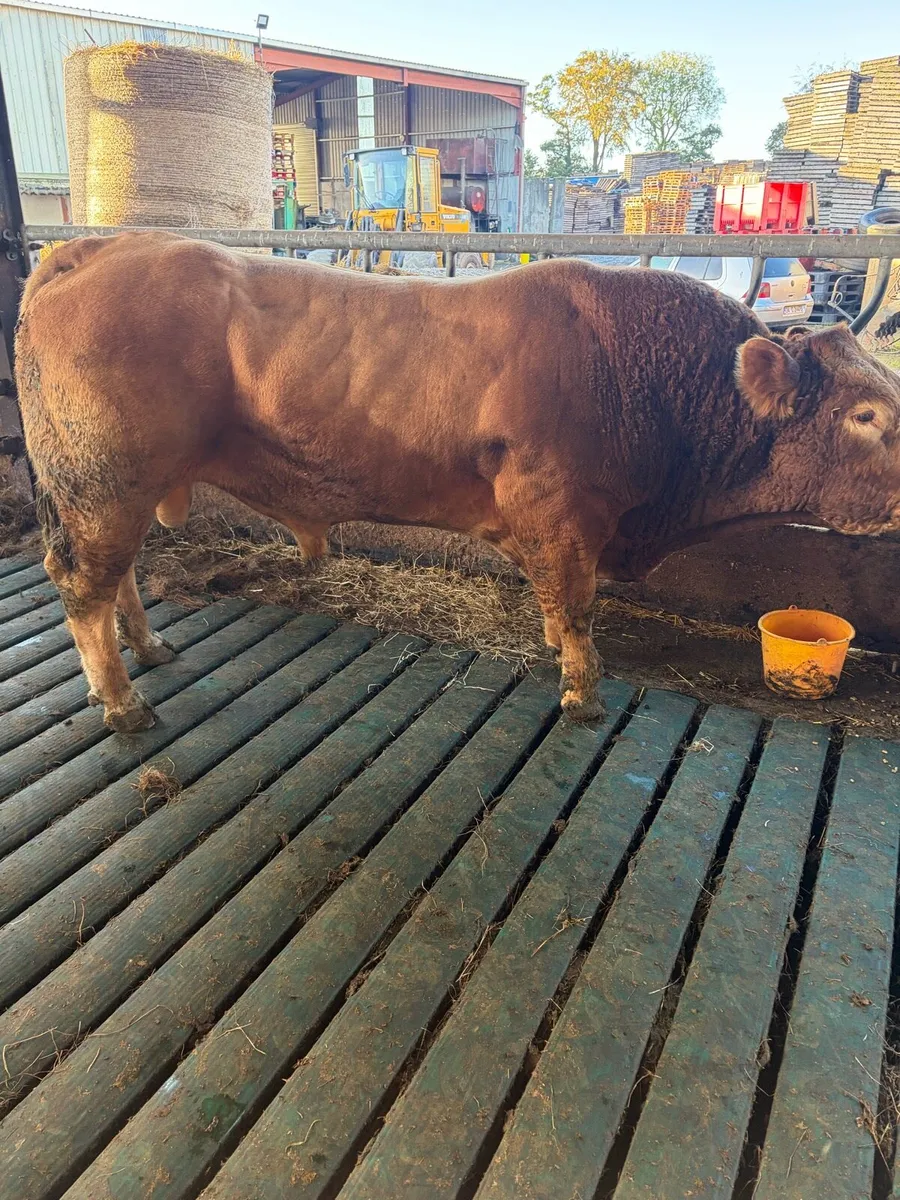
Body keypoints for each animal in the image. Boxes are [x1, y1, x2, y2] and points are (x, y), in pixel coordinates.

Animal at [14, 231, 900, 733]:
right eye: (866, 416)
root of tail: (104, 247)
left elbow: (557, 604)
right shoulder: (560, 512)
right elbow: (576, 607)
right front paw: (582, 693)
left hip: (113, 489)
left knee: (117, 578)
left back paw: (150, 647)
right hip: (101, 482)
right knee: (84, 585)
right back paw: (123, 703)